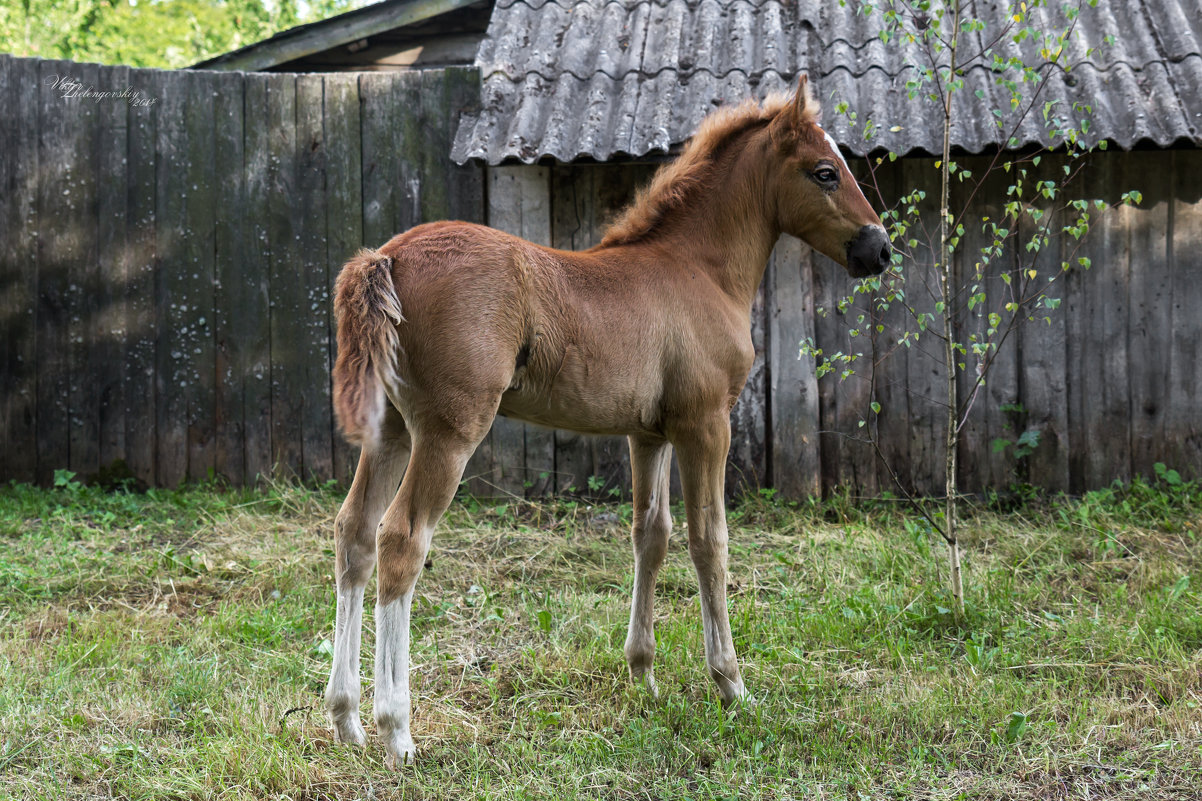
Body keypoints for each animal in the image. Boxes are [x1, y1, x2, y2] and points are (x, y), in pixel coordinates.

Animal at [324, 76, 889, 769]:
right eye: (825, 172)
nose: (879, 248)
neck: (698, 269)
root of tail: (386, 257)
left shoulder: (648, 433)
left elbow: (652, 535)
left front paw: (642, 673)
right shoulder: (706, 424)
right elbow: (710, 541)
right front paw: (731, 684)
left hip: (393, 432)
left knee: (354, 533)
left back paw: (346, 717)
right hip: (448, 432)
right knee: (401, 539)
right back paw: (396, 729)